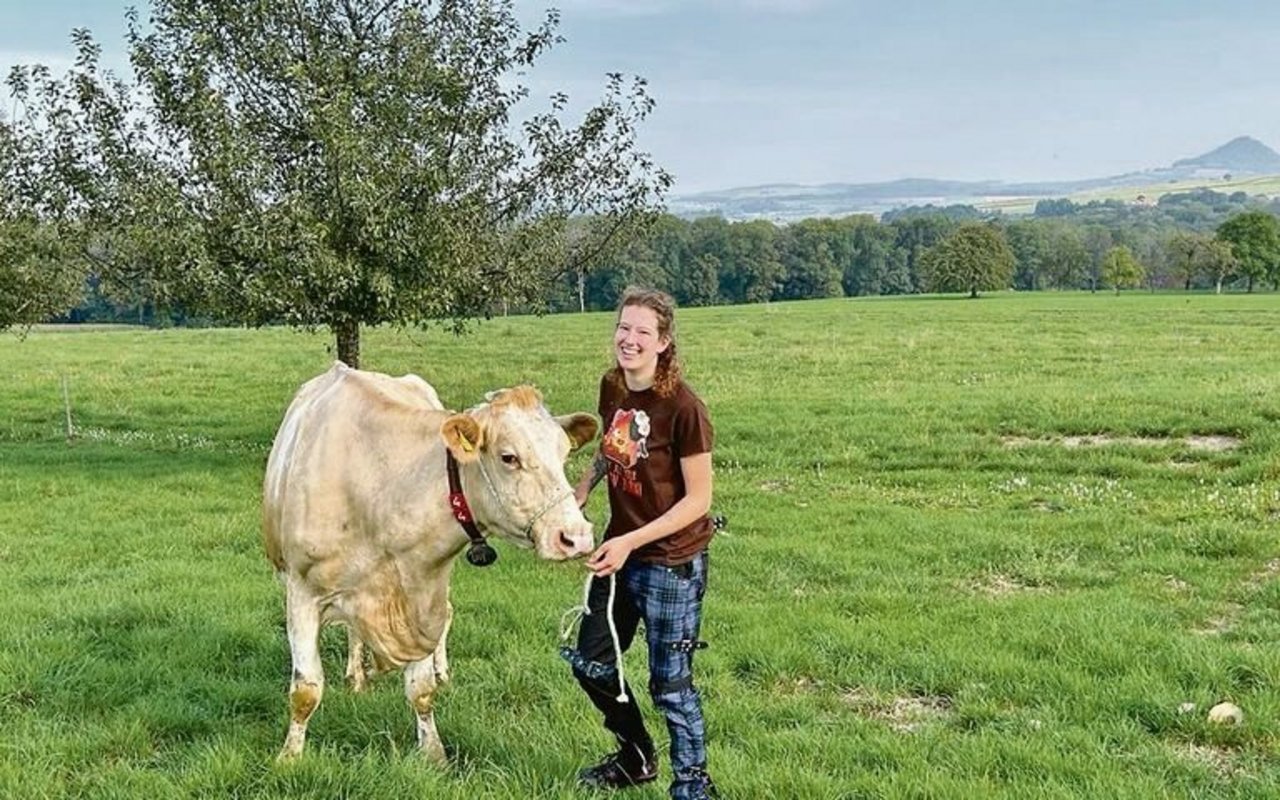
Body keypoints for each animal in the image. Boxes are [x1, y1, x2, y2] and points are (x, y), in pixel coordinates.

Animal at [263, 360, 599, 762]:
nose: (576, 537)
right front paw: (289, 757)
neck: (377, 495)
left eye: (563, 455)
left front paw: (434, 753)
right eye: (509, 457)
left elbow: (421, 689)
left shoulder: (422, 592)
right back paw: (356, 676)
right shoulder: (301, 592)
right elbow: (306, 690)